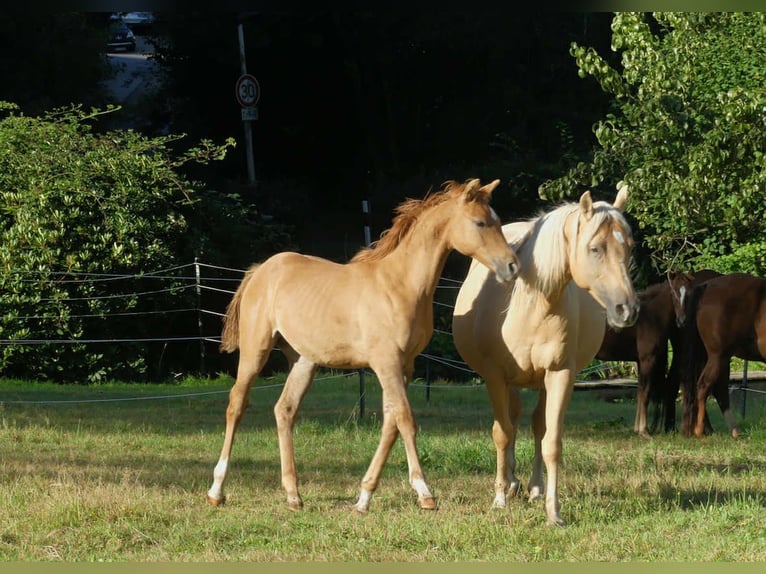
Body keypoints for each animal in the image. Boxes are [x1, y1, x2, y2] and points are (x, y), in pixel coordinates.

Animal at [206, 178, 520, 513]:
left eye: (498, 220)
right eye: (480, 222)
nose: (512, 266)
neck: (400, 285)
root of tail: (260, 270)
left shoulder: (404, 366)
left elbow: (391, 423)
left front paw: (364, 497)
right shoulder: (386, 363)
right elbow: (405, 420)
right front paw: (424, 492)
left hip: (304, 360)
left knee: (285, 410)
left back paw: (293, 495)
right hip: (256, 351)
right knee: (236, 405)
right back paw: (216, 490)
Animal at [452, 183, 639, 526]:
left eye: (629, 247)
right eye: (595, 248)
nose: (627, 310)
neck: (531, 306)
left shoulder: (560, 374)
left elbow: (551, 441)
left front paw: (553, 511)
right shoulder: (495, 376)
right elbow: (501, 434)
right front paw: (500, 498)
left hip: (540, 381)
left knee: (537, 424)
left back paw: (534, 488)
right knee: (512, 420)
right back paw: (511, 484)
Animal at [596, 269, 721, 436]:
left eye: (689, 292)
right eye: (674, 293)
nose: (682, 320)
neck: (650, 316)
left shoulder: (641, 362)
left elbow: (641, 392)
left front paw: (638, 428)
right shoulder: (648, 360)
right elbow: (645, 392)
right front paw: (644, 430)